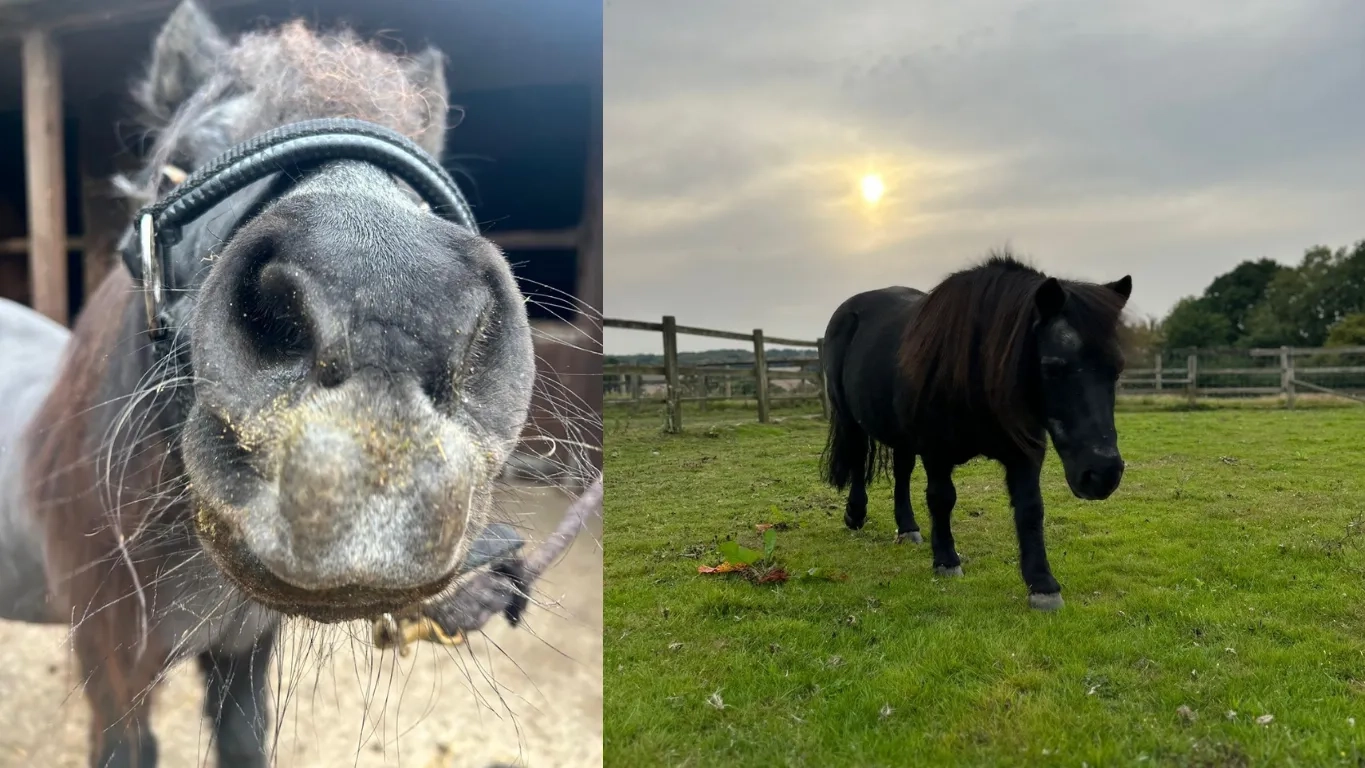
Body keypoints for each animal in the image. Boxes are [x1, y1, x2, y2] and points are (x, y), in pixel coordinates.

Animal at [820, 253, 1131, 611]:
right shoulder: (936, 450)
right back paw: (855, 514)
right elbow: (942, 498)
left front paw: (1043, 584)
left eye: (1117, 369)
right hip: (850, 417)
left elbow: (1030, 509)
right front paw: (946, 560)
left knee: (901, 472)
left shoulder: (1025, 451)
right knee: (858, 459)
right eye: (1053, 366)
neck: (973, 374)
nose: (1103, 474)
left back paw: (907, 527)